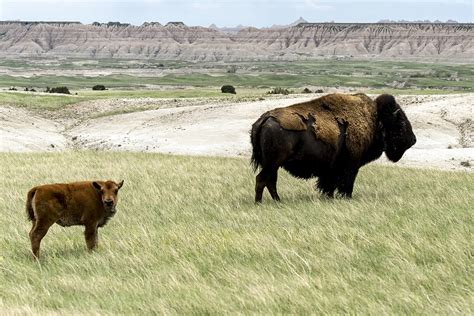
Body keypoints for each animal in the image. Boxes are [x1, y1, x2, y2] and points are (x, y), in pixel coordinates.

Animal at [252, 93, 414, 202]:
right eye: (401, 123)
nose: (413, 140)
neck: (376, 118)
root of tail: (264, 119)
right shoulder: (351, 166)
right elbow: (346, 183)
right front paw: (346, 197)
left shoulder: (331, 169)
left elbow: (329, 184)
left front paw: (329, 197)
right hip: (273, 163)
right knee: (262, 179)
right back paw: (260, 203)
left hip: (273, 164)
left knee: (270, 181)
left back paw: (277, 201)